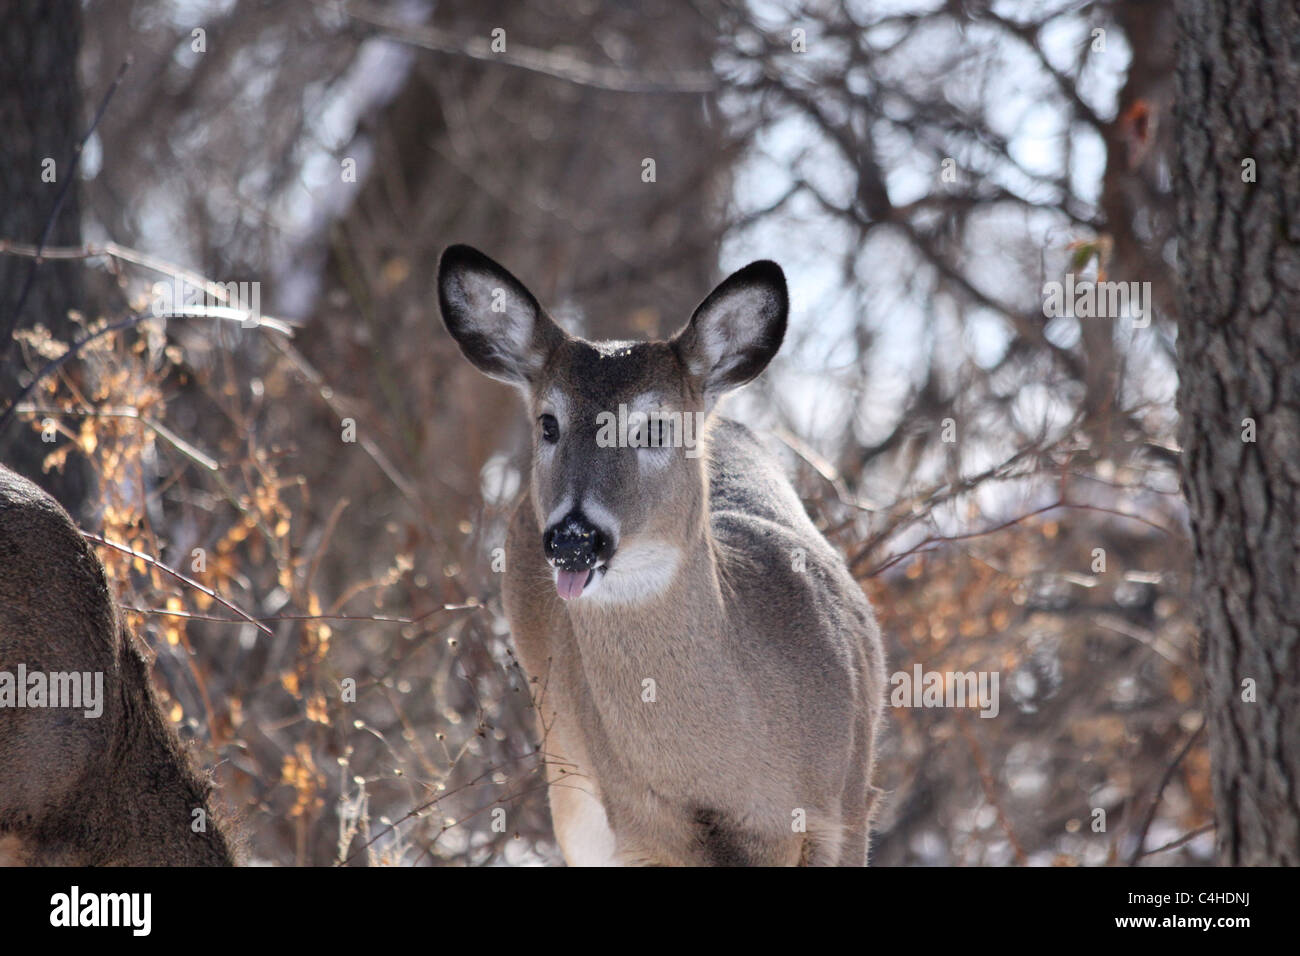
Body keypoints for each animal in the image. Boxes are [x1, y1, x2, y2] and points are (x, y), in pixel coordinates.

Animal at [441, 244, 889, 868]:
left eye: (654, 426)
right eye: (548, 423)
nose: (574, 536)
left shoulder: (847, 807)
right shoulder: (641, 828)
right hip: (568, 776)